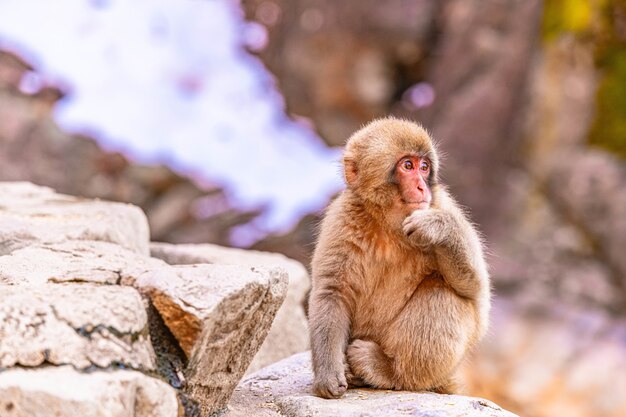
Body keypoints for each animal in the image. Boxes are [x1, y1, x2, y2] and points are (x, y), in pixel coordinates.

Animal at [308, 116, 488, 396]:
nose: (422, 187)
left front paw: (440, 228)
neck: (388, 224)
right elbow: (332, 292)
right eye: (407, 166)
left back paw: (387, 371)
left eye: (424, 167)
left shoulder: (441, 204)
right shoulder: (341, 218)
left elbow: (477, 293)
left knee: (442, 291)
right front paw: (328, 373)